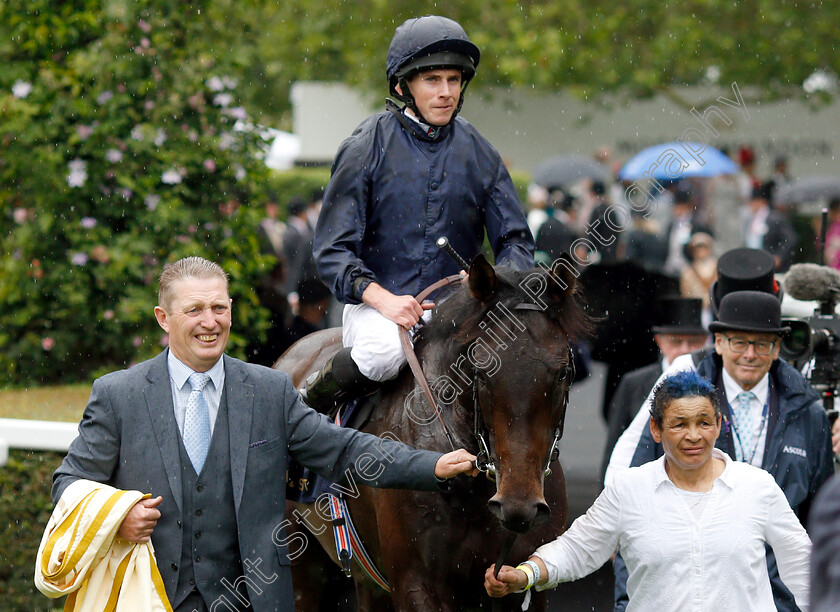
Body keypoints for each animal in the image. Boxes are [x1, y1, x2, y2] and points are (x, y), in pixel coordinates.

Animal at [276, 255, 592, 612]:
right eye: (481, 371)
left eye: (563, 373)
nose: (518, 504)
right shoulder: (416, 583)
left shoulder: (524, 586)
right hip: (302, 567)